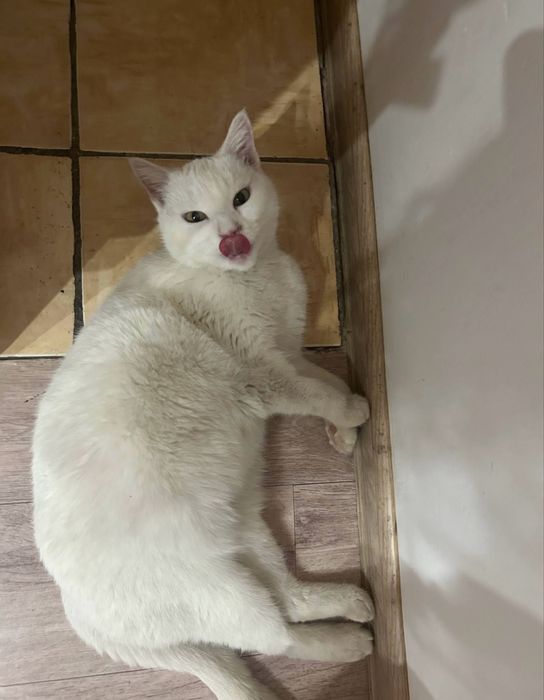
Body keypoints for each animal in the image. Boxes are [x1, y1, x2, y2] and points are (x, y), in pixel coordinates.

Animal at [32, 110, 374, 700]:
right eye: (195, 217)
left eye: (241, 198)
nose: (231, 237)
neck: (258, 276)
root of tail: (77, 612)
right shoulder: (264, 374)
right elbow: (322, 395)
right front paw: (357, 415)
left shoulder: (287, 352)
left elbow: (325, 382)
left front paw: (344, 435)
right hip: (225, 591)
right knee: (278, 636)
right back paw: (350, 642)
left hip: (248, 534)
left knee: (290, 600)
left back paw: (351, 604)